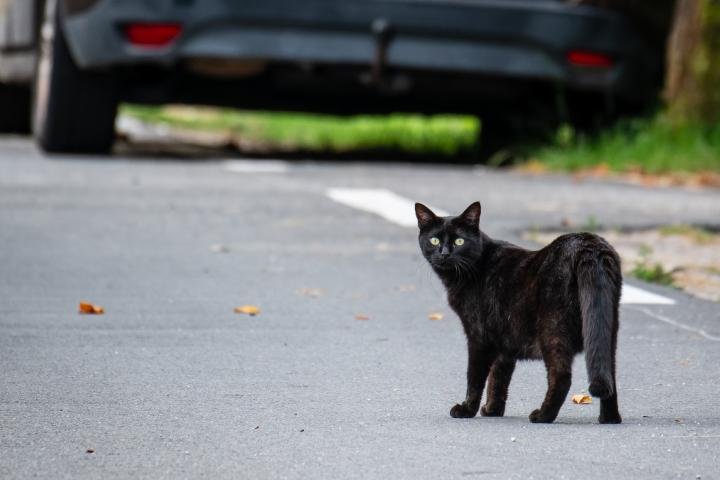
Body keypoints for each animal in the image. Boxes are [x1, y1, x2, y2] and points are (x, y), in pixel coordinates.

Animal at [414, 202, 620, 424]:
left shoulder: (478, 337)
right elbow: (498, 377)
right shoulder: (504, 339)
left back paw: (543, 415)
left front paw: (467, 409)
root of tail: (588, 245)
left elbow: (475, 377)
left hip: (553, 329)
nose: (444, 253)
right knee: (609, 373)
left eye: (459, 241)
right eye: (434, 240)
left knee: (561, 376)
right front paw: (492, 409)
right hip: (606, 330)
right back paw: (610, 418)